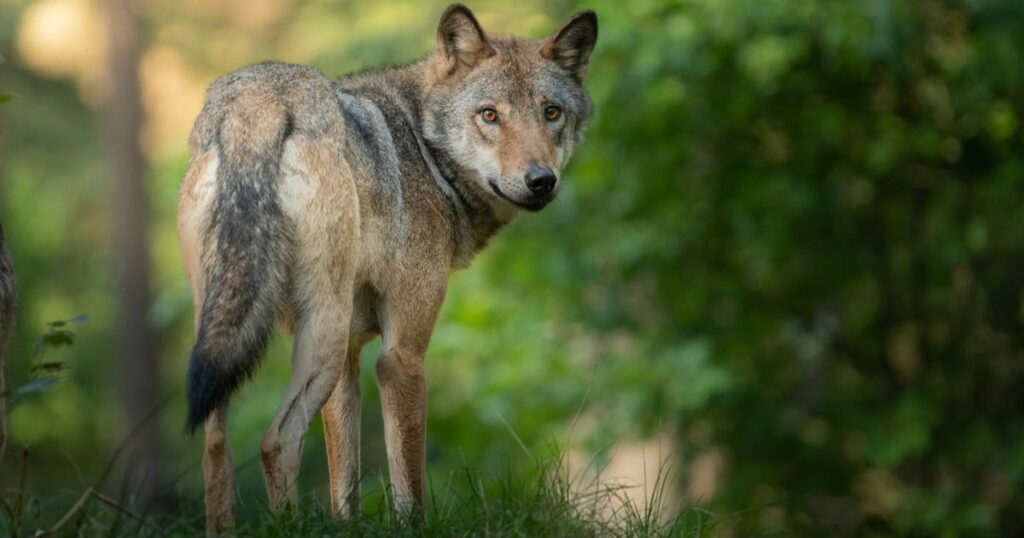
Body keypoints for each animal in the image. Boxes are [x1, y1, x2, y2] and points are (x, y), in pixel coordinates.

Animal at [175, 3, 593, 532]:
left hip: (228, 336)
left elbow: (345, 485)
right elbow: (408, 484)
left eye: (551, 112)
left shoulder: (351, 361)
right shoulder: (400, 356)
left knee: (214, 448)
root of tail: (260, 101)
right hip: (323, 338)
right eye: (490, 115)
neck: (425, 149)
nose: (541, 180)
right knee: (275, 441)